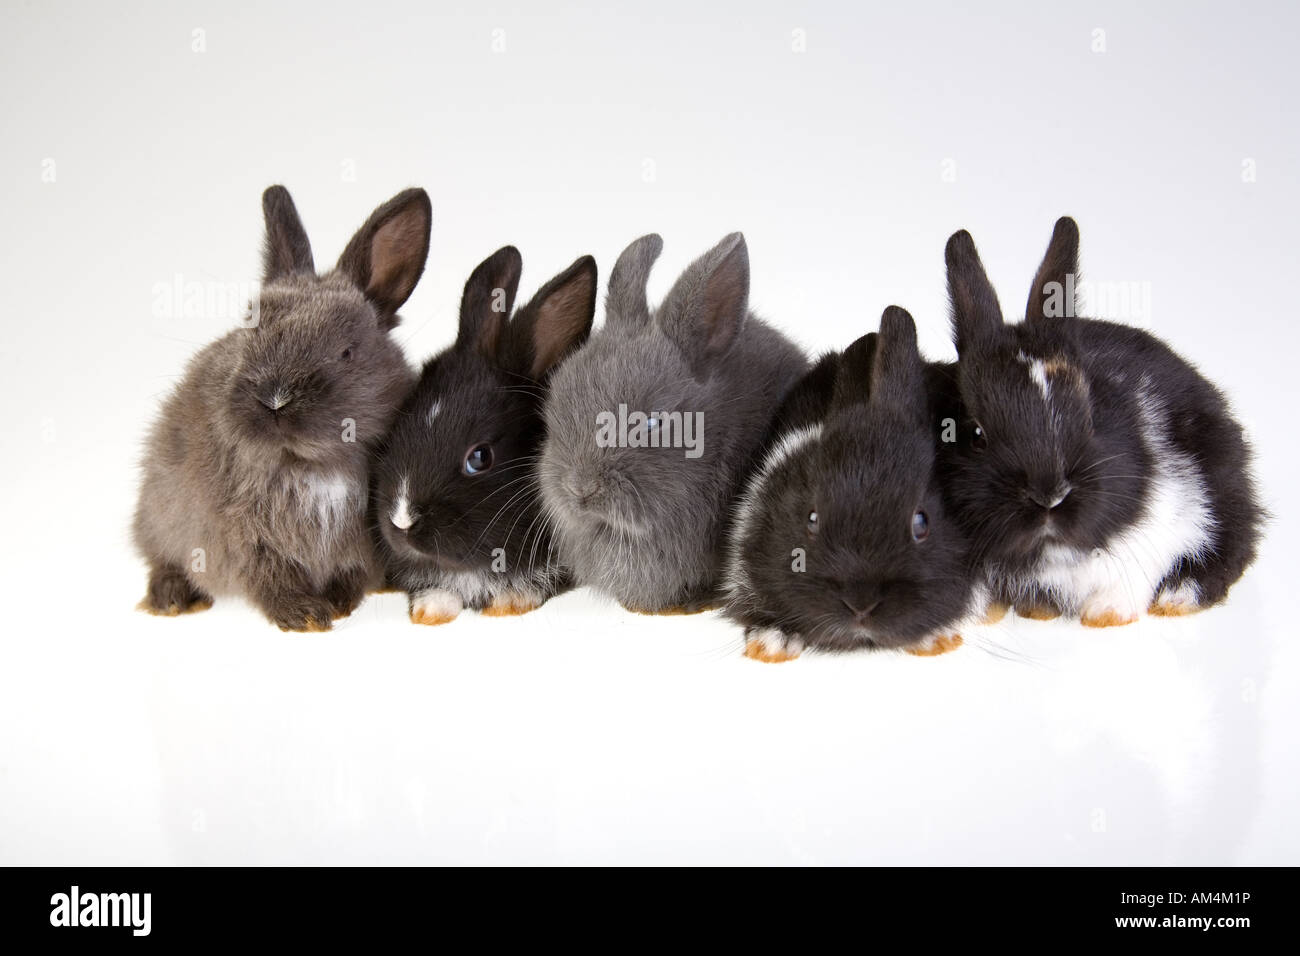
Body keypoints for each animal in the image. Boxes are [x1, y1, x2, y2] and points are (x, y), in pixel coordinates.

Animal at [133, 185, 429, 631]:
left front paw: (336, 604)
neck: (314, 466)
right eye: (251, 331)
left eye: (347, 352)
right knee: (162, 558)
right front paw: (304, 616)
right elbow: (271, 578)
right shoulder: (247, 539)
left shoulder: (362, 542)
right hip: (160, 510)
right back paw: (171, 598)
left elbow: (351, 574)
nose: (274, 399)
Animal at [941, 216, 1263, 627]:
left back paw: (1176, 598)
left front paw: (1104, 616)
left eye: (1090, 416)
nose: (1051, 496)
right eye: (977, 434)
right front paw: (1018, 612)